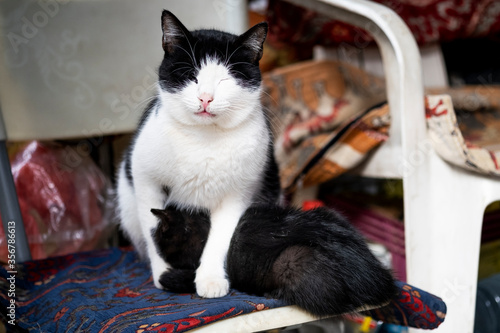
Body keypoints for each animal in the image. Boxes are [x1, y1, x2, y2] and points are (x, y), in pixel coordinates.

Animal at [116, 10, 282, 296]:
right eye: (191, 76)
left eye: (225, 80)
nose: (205, 98)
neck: (203, 139)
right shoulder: (146, 181)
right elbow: (153, 232)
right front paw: (164, 274)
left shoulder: (237, 195)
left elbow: (219, 239)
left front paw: (211, 280)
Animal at [150, 204, 396, 316]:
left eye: (160, 237)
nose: (157, 248)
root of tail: (376, 276)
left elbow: (184, 277)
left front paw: (168, 277)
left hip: (296, 258)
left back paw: (272, 293)